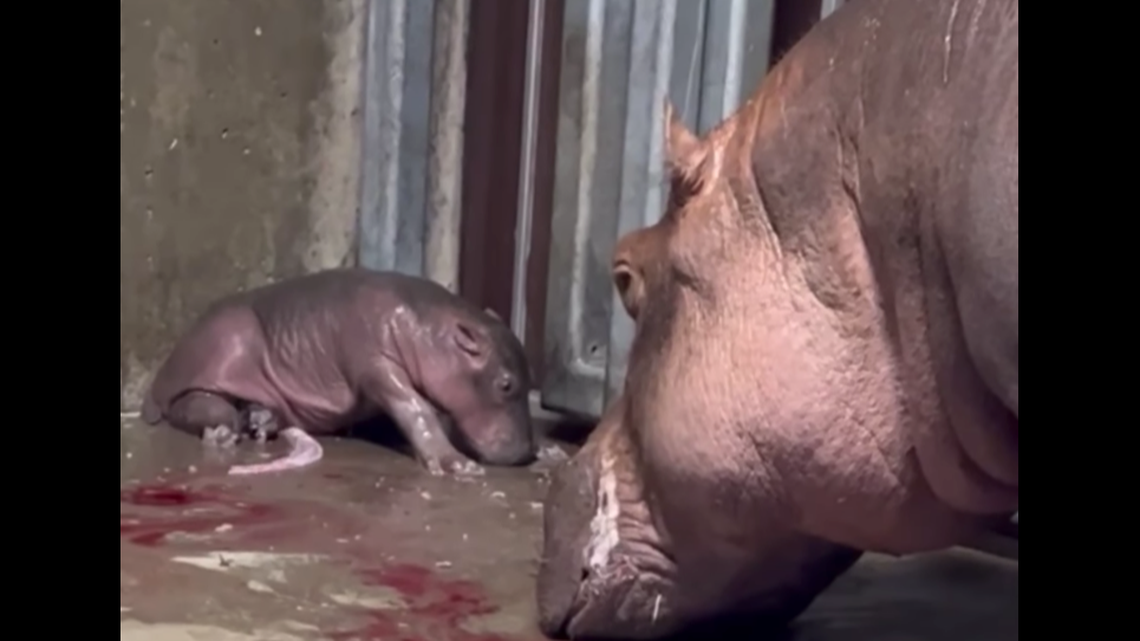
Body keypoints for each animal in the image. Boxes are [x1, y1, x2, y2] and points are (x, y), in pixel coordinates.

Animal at [141, 268, 536, 476]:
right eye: (506, 384)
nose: (528, 452)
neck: (431, 330)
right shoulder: (377, 366)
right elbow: (414, 407)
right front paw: (459, 465)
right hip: (227, 343)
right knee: (198, 404)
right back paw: (224, 433)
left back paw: (261, 421)